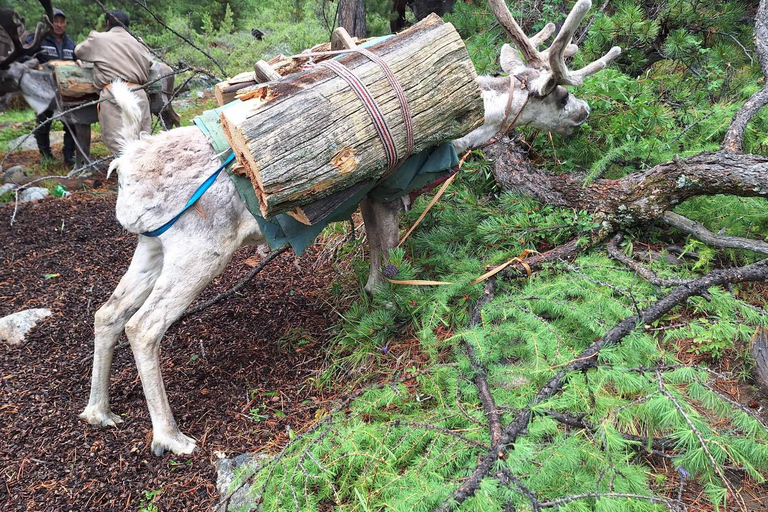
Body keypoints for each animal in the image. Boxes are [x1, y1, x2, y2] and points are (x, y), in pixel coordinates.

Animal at [70, 0, 620, 456]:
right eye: (559, 93)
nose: (587, 111)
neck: (467, 125)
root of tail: (128, 163)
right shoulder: (389, 188)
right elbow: (388, 260)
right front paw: (395, 308)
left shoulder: (370, 198)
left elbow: (375, 257)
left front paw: (379, 302)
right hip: (198, 249)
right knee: (144, 326)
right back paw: (171, 436)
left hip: (151, 245)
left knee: (107, 312)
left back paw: (99, 411)